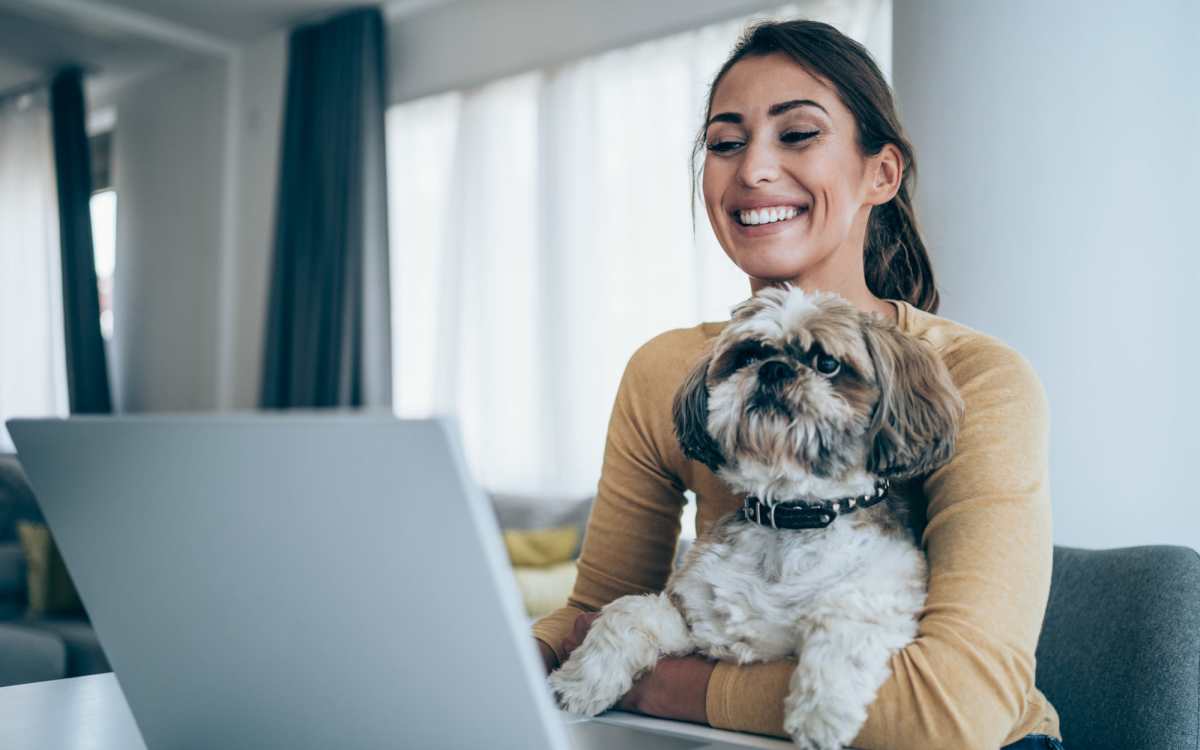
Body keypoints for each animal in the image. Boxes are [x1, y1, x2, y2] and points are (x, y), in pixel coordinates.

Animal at [549, 285, 969, 748]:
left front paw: (821, 714)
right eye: (748, 355)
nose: (773, 368)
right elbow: (628, 613)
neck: (792, 516)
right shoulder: (697, 622)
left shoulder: (884, 594)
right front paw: (579, 682)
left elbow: (844, 619)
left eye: (827, 363)